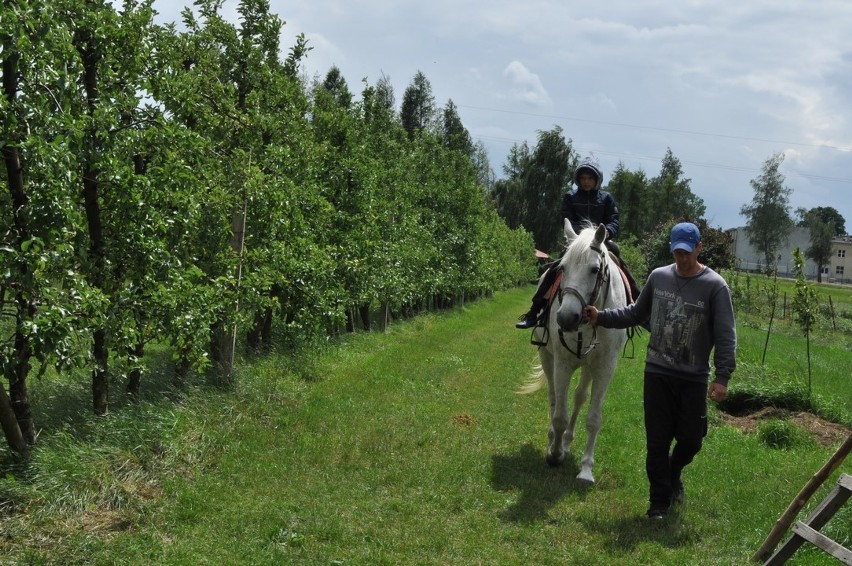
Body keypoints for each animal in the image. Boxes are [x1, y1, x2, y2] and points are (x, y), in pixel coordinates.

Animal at [516, 221, 628, 484]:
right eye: (563, 268)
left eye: (595, 269)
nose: (567, 318)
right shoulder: (562, 364)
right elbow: (559, 416)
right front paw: (554, 454)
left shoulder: (604, 368)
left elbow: (593, 418)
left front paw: (586, 468)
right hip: (547, 358)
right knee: (553, 396)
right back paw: (554, 442)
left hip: (587, 367)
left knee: (579, 398)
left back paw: (567, 442)